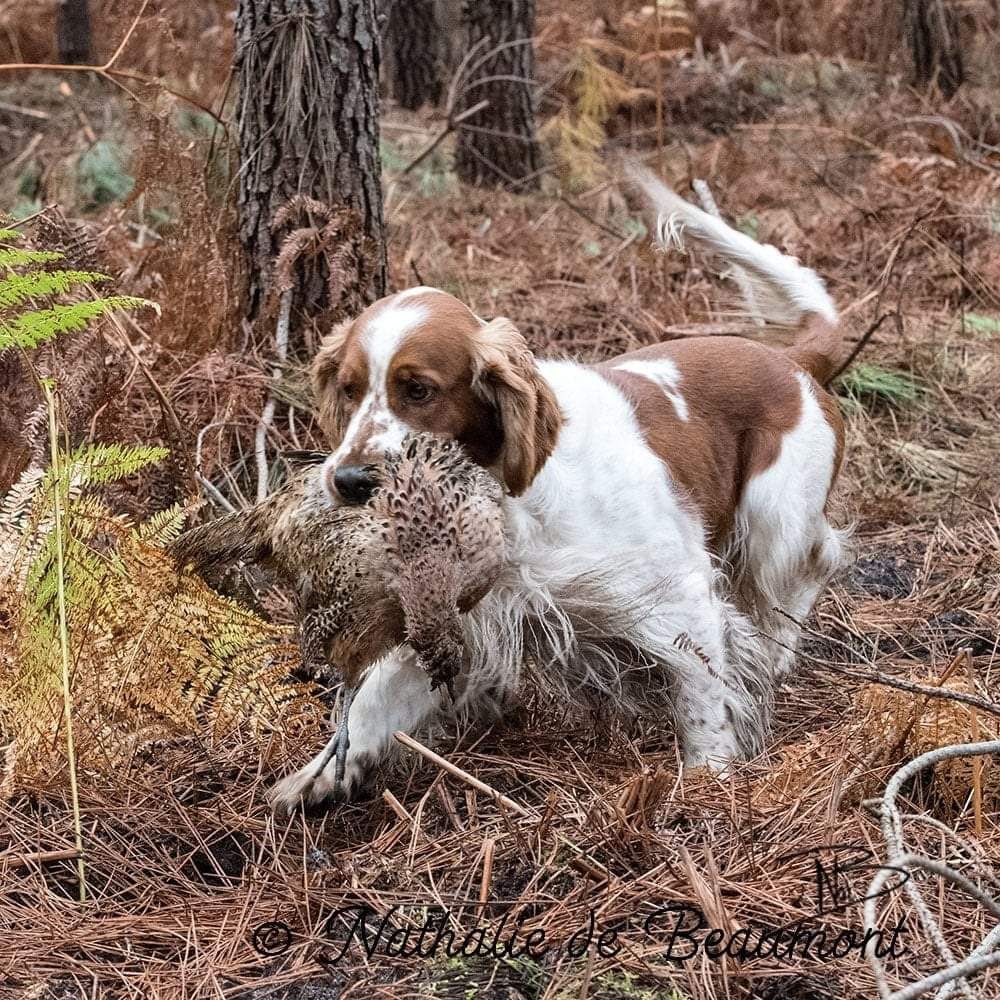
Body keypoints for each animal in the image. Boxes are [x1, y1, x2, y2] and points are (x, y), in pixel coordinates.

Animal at [270, 168, 848, 808]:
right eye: (347, 390)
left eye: (418, 390)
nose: (347, 481)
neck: (511, 503)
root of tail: (792, 361)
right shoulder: (463, 619)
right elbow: (373, 701)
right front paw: (317, 776)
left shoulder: (680, 596)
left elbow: (703, 698)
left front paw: (708, 783)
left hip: (776, 519)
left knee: (817, 561)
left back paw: (777, 651)